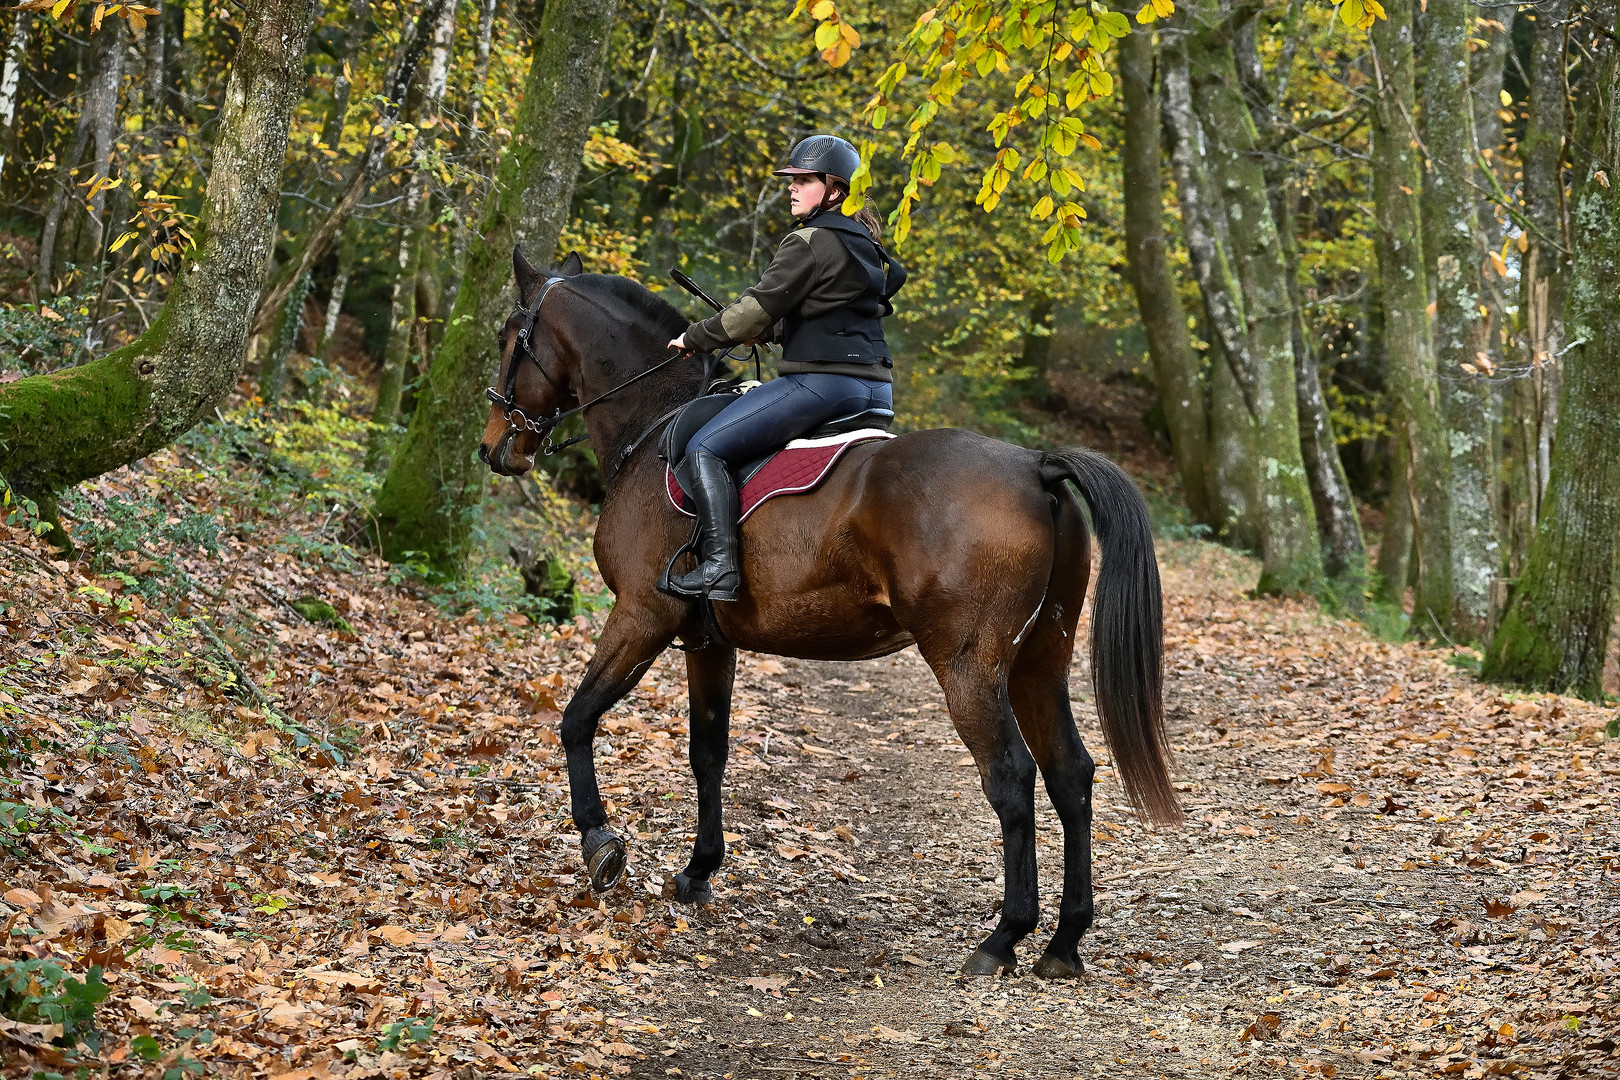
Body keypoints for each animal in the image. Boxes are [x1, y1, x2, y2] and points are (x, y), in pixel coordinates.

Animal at [473, 249, 1185, 977]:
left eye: (508, 339)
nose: (496, 446)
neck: (654, 425)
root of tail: (1036, 466)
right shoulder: (707, 641)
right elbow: (708, 751)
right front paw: (699, 871)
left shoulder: (643, 615)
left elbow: (577, 719)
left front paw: (600, 843)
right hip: (1039, 662)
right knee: (1071, 775)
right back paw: (1064, 942)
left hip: (969, 668)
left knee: (1011, 778)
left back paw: (1003, 938)